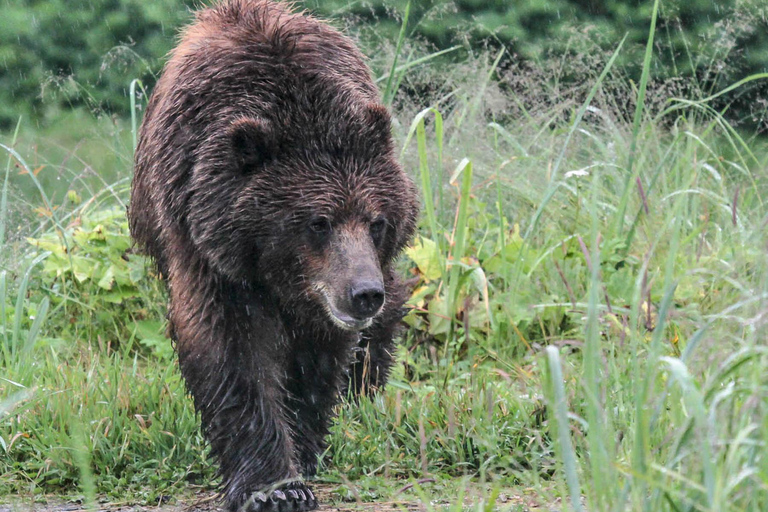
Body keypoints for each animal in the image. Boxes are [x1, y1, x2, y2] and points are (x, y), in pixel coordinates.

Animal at [127, 1, 419, 511]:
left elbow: (315, 358)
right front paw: (274, 486)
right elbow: (233, 353)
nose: (364, 293)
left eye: (376, 221)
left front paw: (301, 453)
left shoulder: (324, 292)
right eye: (318, 222)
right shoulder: (207, 249)